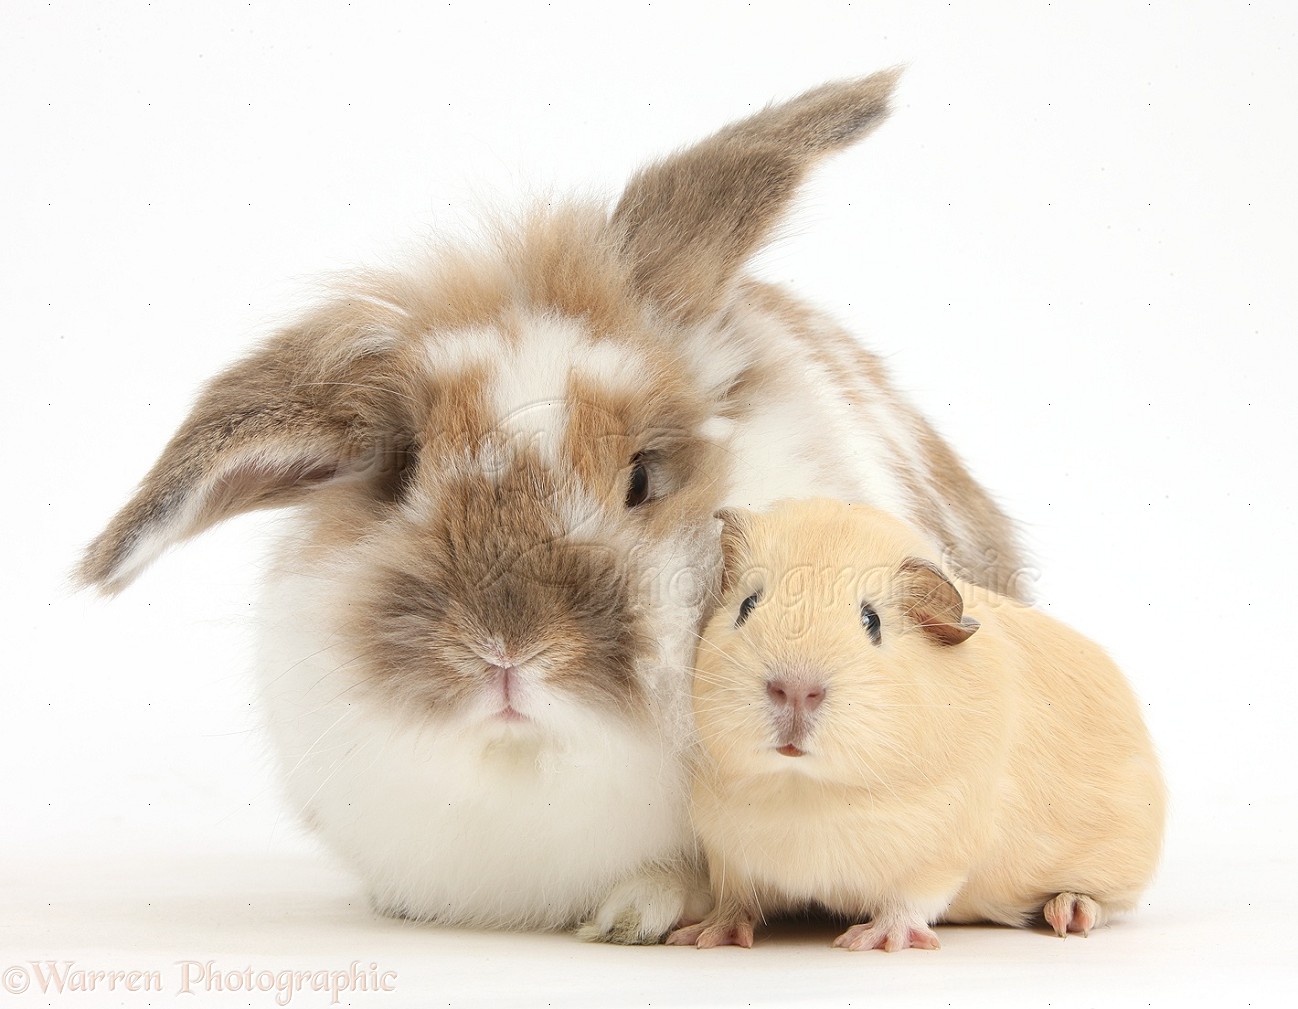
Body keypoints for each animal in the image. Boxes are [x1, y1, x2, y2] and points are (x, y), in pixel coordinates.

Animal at [669, 498, 1168, 950]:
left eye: (872, 621)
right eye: (747, 605)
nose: (794, 689)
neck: (802, 789)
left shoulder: (938, 857)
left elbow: (908, 903)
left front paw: (869, 941)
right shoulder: (729, 856)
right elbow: (734, 902)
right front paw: (700, 937)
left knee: (1107, 903)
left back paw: (1068, 914)